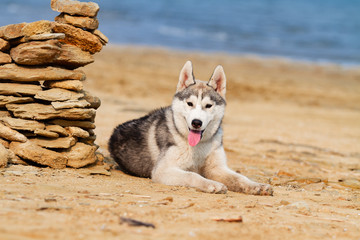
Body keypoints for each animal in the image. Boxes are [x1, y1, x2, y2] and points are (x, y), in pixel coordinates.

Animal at [109, 61, 272, 196]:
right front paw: (211, 184)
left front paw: (256, 186)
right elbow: (192, 175)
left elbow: (239, 177)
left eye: (208, 105)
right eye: (189, 103)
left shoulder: (217, 168)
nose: (196, 123)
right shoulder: (163, 171)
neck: (198, 146)